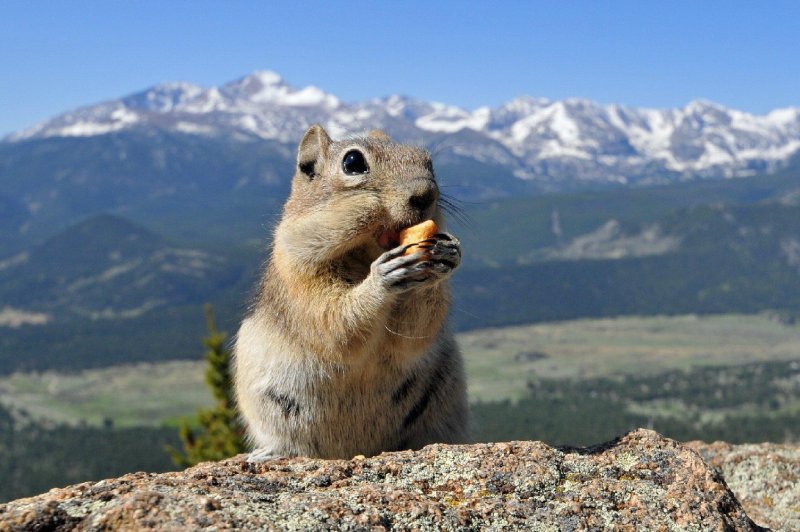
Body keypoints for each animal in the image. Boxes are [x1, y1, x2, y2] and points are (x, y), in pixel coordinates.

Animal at [231, 123, 468, 458]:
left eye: (428, 161)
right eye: (353, 162)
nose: (426, 194)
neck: (363, 255)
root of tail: (354, 450)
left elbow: (414, 333)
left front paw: (447, 253)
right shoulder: (300, 279)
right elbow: (335, 323)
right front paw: (382, 277)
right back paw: (270, 452)